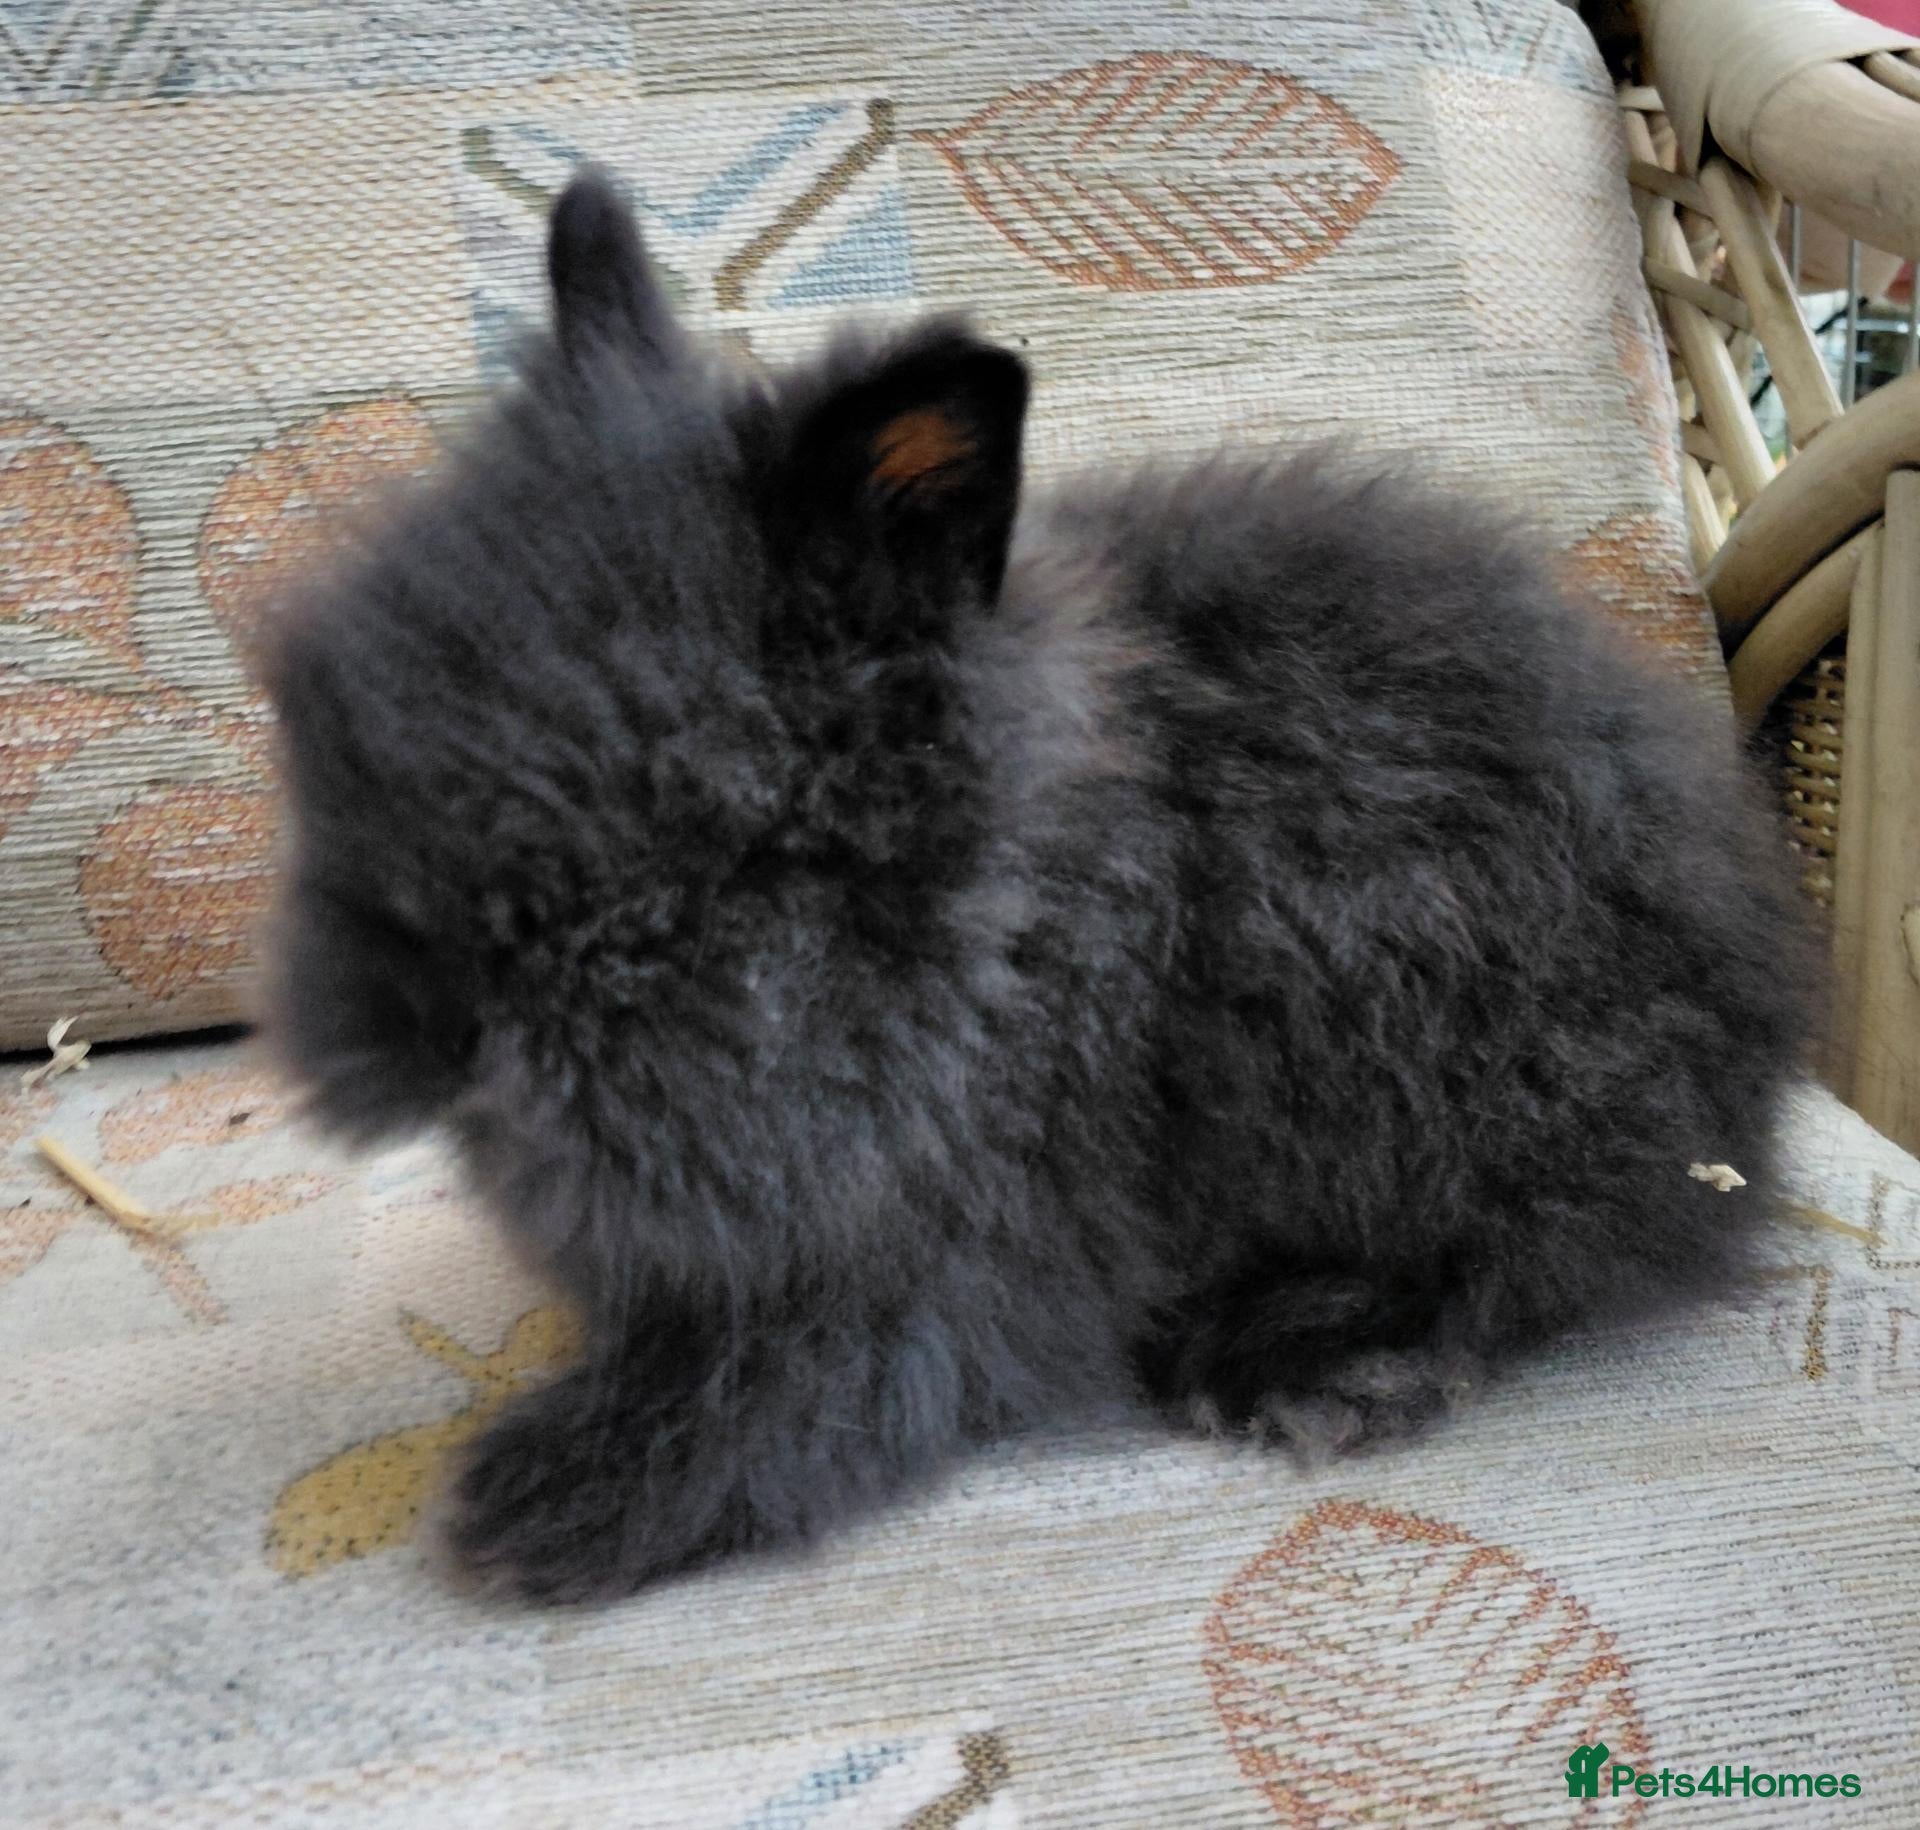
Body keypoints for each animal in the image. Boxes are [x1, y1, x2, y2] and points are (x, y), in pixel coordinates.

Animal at [258, 169, 1812, 1604]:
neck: (995, 917)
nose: (424, 1040)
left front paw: (541, 1505)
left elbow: (823, 1383)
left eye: (722, 834)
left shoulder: (956, 1242)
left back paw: (1288, 1359)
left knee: (1539, 1259)